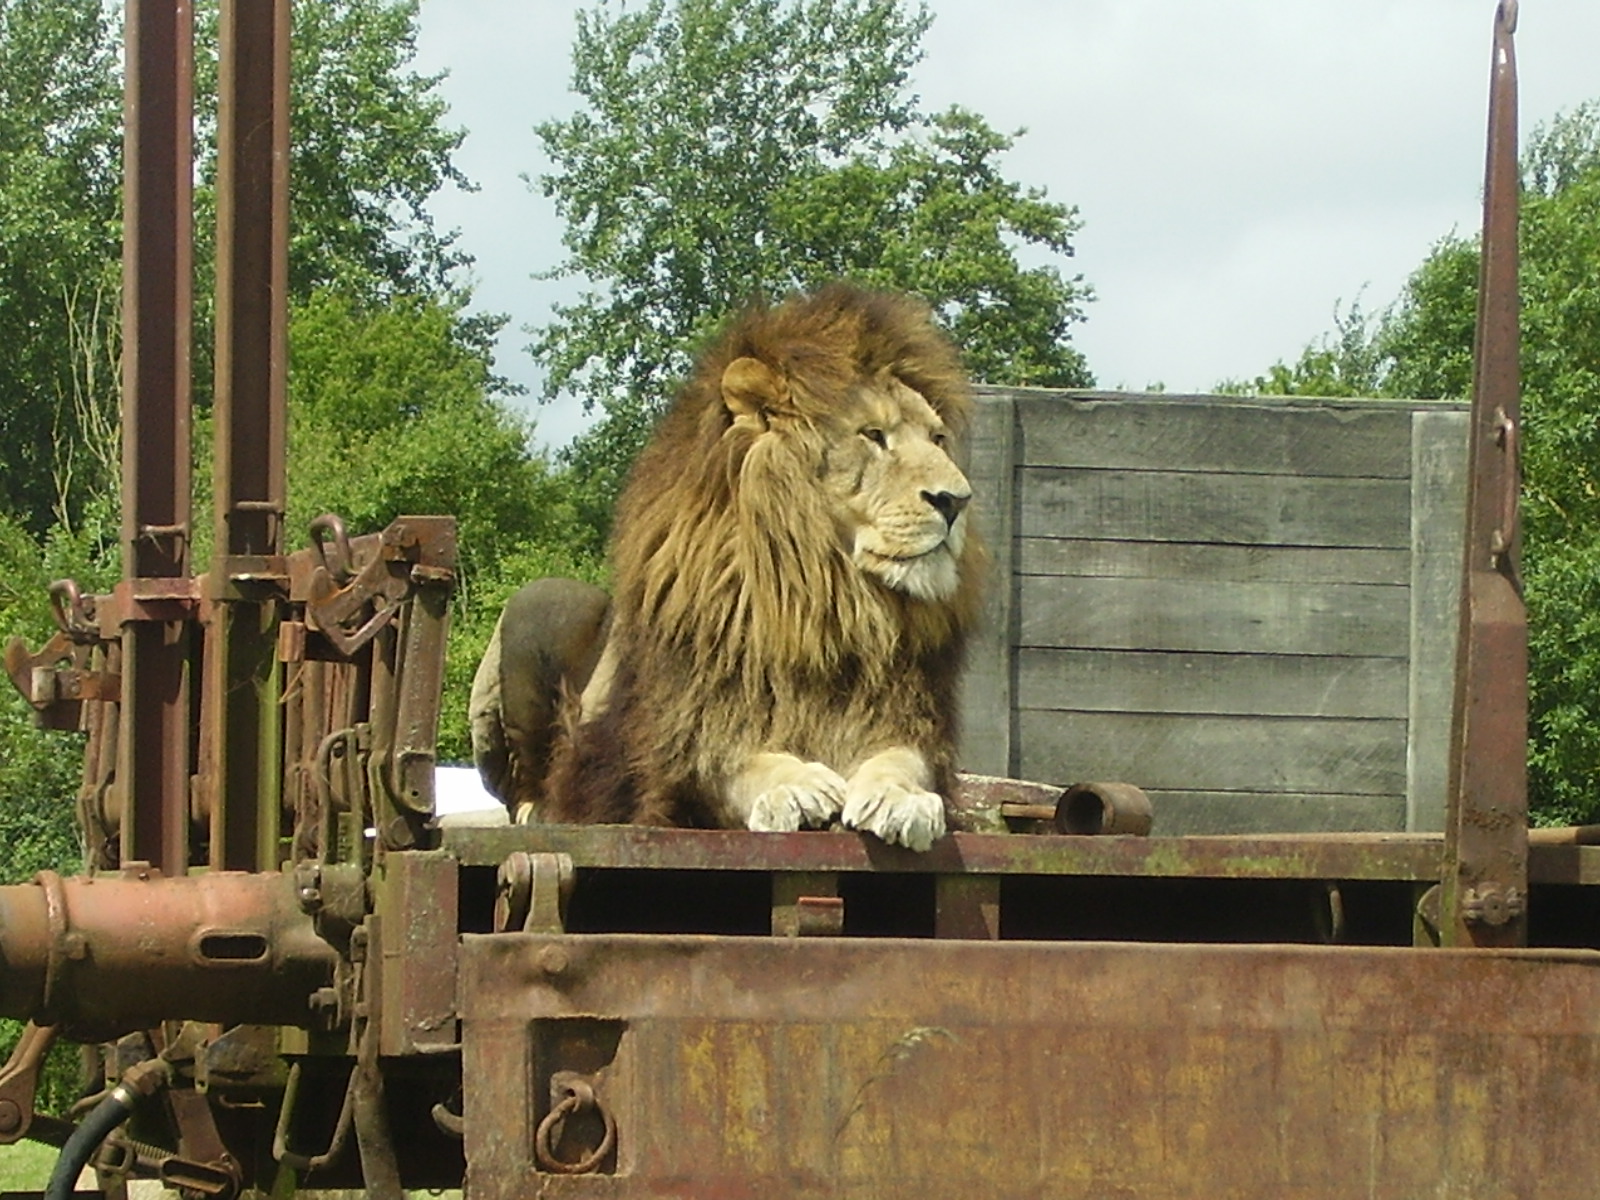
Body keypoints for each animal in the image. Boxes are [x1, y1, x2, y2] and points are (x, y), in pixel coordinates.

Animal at [469, 283, 982, 851]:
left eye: (937, 439)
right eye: (872, 435)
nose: (957, 501)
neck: (825, 603)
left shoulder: (909, 720)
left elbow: (901, 761)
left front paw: (901, 798)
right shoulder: (682, 750)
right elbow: (737, 765)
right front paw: (794, 787)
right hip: (541, 601)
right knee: (522, 787)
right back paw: (538, 810)